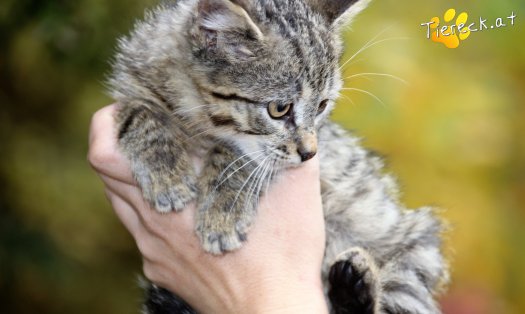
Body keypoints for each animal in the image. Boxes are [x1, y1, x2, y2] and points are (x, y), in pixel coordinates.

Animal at [108, 0, 448, 312]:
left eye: (322, 105)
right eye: (279, 108)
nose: (309, 153)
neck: (198, 116)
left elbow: (243, 156)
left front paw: (222, 211)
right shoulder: (130, 84)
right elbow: (139, 111)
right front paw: (165, 174)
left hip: (410, 251)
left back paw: (354, 289)